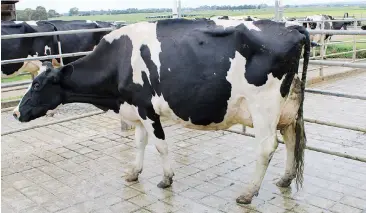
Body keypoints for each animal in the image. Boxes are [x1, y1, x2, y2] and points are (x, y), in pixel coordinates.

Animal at [15, 18, 312, 205]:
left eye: (38, 85)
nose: (16, 113)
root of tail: (293, 27)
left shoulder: (146, 107)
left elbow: (160, 145)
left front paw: (166, 179)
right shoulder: (135, 110)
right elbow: (138, 143)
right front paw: (133, 173)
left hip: (264, 105)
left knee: (267, 147)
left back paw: (248, 193)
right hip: (288, 107)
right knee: (292, 139)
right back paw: (284, 179)